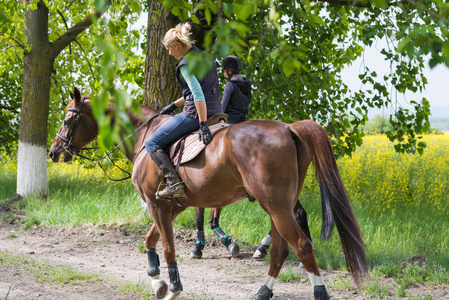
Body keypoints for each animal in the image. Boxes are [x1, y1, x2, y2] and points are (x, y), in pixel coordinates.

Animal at [49, 88, 366, 300]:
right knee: (280, 250)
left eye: (67, 120)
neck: (144, 137)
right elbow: (150, 240)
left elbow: (167, 246)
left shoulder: (156, 204)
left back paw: (316, 290)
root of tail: (289, 128)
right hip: (277, 207)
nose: (54, 151)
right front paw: (157, 282)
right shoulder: (171, 205)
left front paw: (174, 287)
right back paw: (262, 291)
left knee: (301, 245)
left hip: (276, 206)